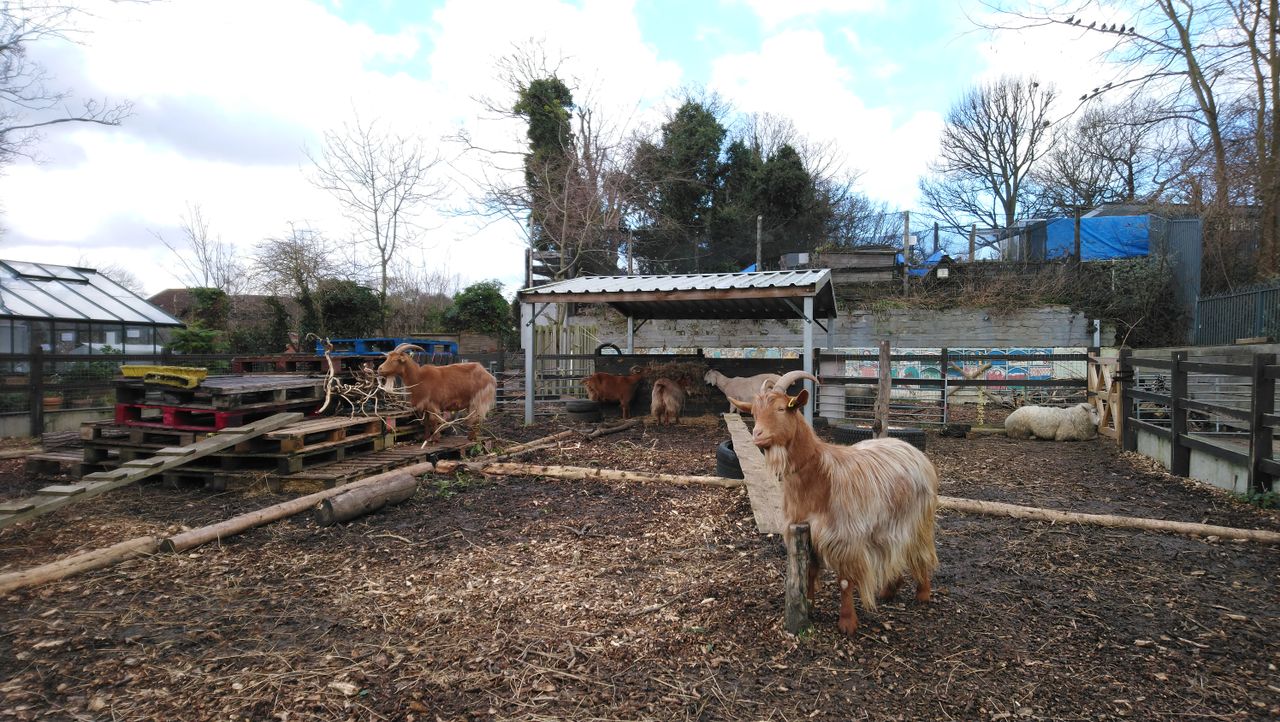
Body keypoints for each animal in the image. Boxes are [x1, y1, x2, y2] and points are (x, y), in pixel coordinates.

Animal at [730, 370, 939, 636]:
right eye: (754, 413)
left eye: (781, 408)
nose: (757, 434)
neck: (819, 475)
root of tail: (911, 449)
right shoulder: (804, 530)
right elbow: (809, 571)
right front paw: (808, 606)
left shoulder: (844, 536)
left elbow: (845, 581)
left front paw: (847, 622)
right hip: (887, 522)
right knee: (894, 550)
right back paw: (889, 589)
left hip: (919, 518)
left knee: (919, 550)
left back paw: (923, 592)